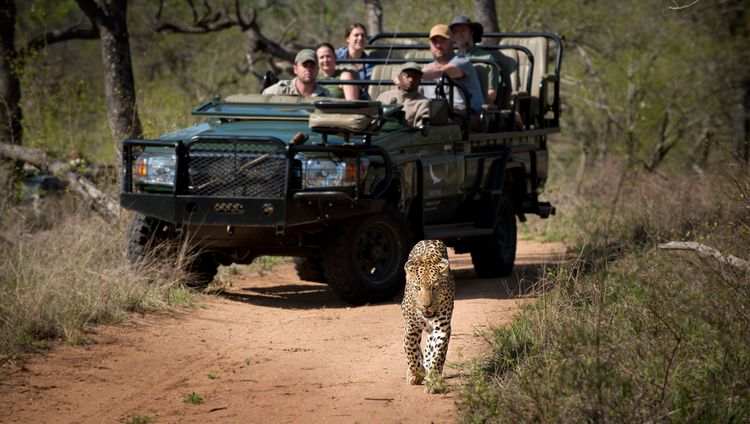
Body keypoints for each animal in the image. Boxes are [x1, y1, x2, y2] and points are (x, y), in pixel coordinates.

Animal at [402, 238, 456, 394]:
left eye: (435, 287)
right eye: (417, 288)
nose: (426, 305)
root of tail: (429, 239)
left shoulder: (441, 329)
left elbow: (437, 355)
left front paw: (432, 381)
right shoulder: (411, 328)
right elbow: (411, 350)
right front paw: (417, 372)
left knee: (428, 349)